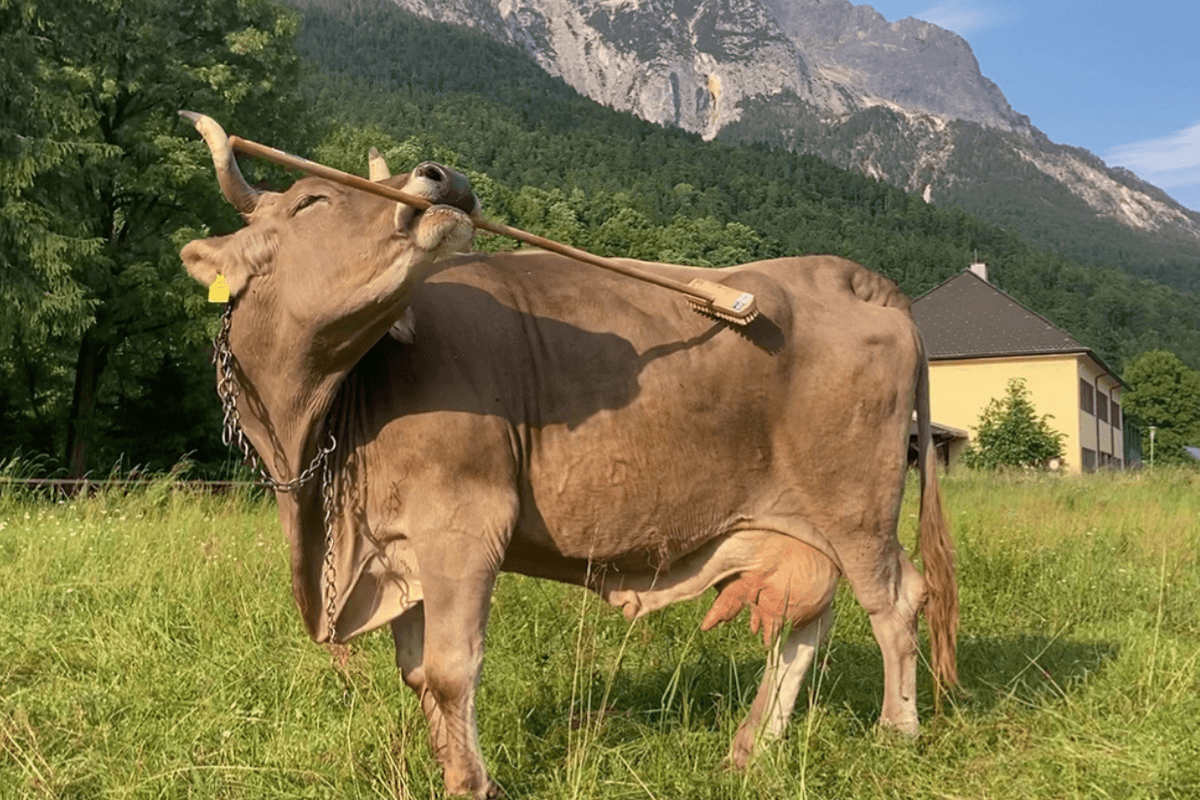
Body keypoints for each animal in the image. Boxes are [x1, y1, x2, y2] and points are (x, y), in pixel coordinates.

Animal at [180, 112, 957, 799]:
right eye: (311, 200)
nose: (443, 176)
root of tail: (843, 274)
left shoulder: (463, 523)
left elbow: (451, 669)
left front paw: (473, 785)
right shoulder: (396, 546)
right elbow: (417, 672)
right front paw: (449, 769)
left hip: (856, 506)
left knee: (894, 600)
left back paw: (896, 732)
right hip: (802, 521)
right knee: (808, 615)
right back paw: (752, 746)